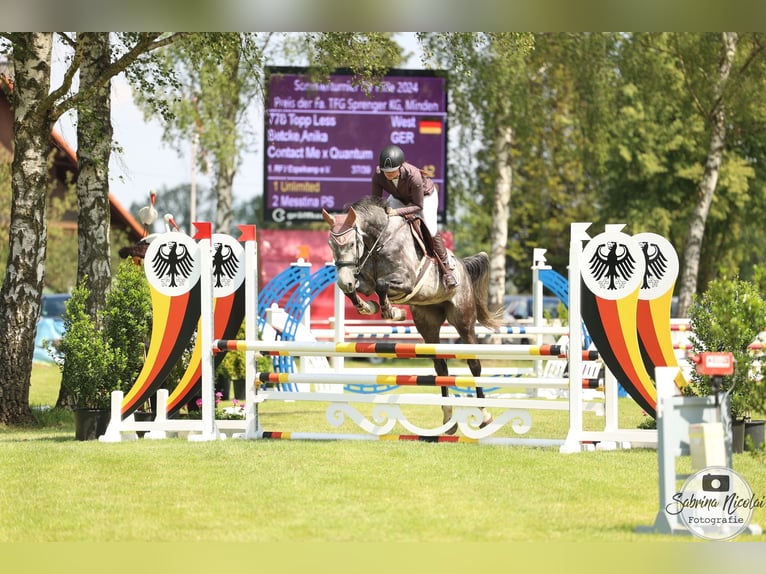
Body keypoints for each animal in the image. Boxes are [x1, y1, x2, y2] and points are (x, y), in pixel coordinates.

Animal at [320, 196, 500, 434]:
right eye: (331, 245)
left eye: (351, 244)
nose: (344, 279)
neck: (378, 242)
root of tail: (462, 265)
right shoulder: (363, 280)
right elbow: (356, 290)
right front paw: (369, 307)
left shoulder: (407, 280)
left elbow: (381, 284)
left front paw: (391, 311)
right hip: (428, 324)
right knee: (441, 368)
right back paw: (448, 421)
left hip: (463, 320)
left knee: (474, 365)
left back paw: (485, 416)